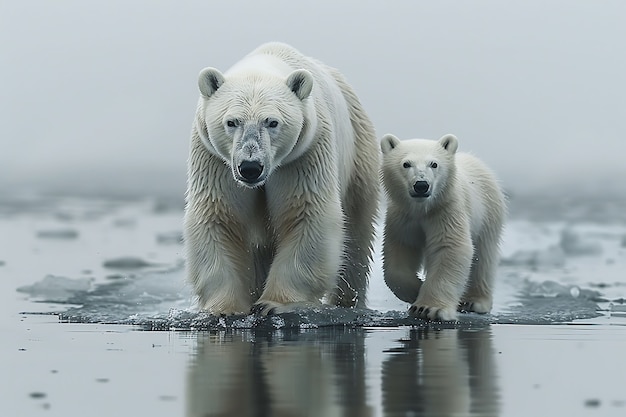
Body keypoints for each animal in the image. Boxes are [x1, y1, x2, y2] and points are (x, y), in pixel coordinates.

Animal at [185, 43, 378, 316]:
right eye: (231, 122)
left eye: (272, 122)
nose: (250, 167)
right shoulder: (214, 158)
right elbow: (219, 216)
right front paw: (225, 308)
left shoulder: (303, 154)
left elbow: (306, 214)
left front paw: (274, 304)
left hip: (358, 153)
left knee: (356, 234)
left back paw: (346, 301)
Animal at [378, 133, 504, 318]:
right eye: (406, 164)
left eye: (434, 164)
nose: (421, 185)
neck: (423, 209)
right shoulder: (403, 217)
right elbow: (400, 252)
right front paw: (416, 290)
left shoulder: (446, 210)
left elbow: (449, 247)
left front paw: (427, 308)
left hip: (488, 212)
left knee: (482, 257)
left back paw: (474, 301)